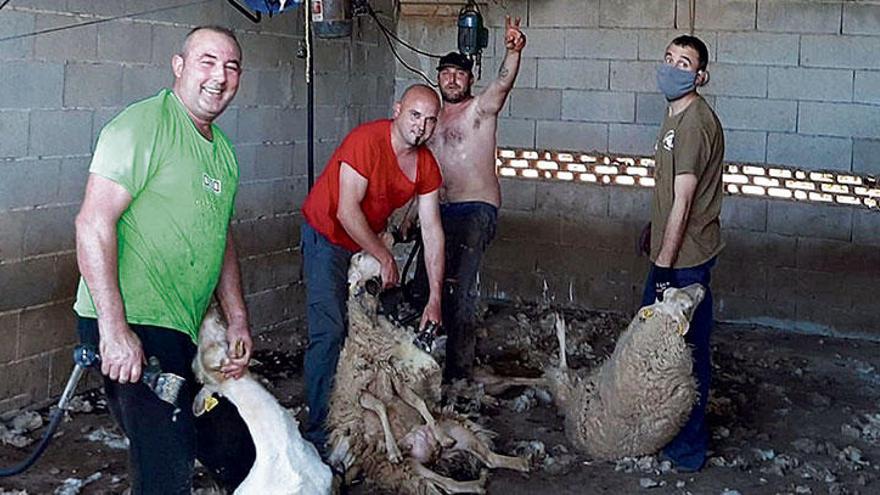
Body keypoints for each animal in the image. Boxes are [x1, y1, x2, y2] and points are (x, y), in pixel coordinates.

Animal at [324, 252, 524, 495]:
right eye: (359, 259)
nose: (356, 255)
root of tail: (430, 452)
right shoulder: (361, 391)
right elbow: (381, 406)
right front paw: (392, 450)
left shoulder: (398, 381)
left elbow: (418, 402)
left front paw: (441, 435)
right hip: (412, 467)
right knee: (448, 483)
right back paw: (478, 483)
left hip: (457, 429)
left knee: (488, 460)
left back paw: (519, 463)